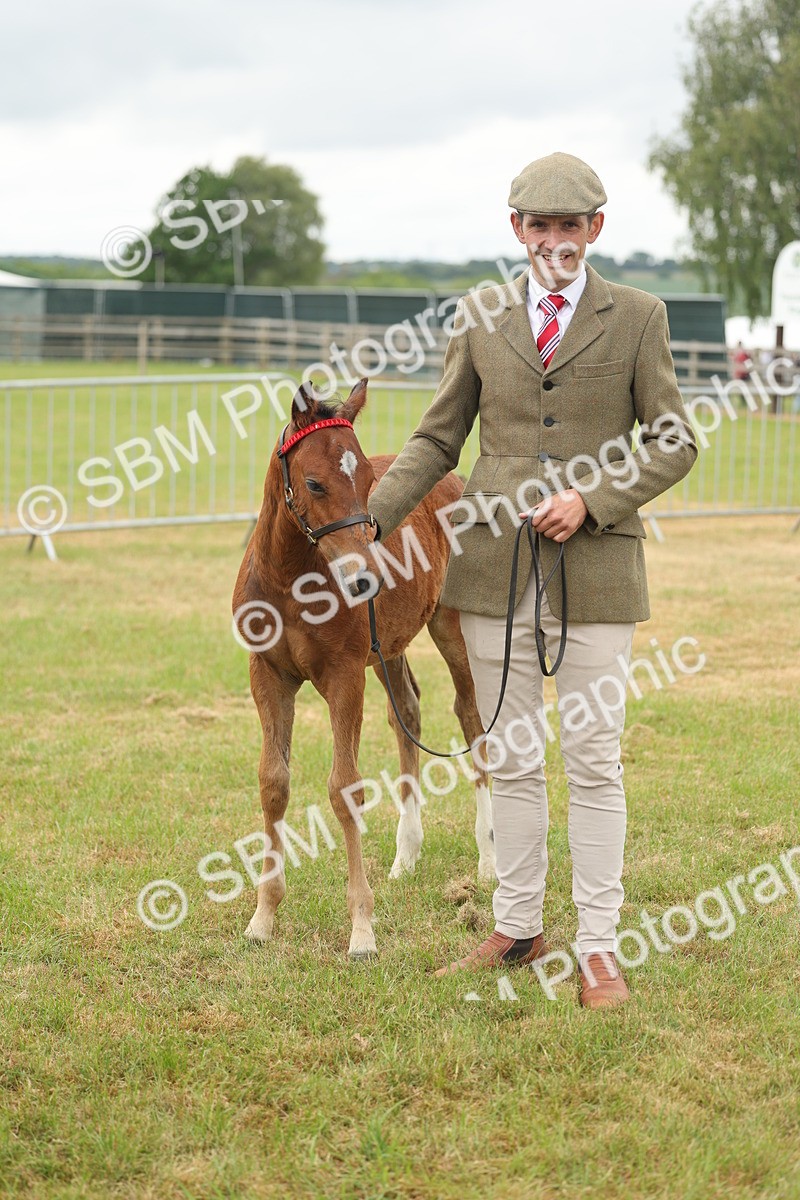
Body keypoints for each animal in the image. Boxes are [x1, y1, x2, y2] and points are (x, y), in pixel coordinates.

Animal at [231, 378, 495, 958]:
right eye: (313, 482)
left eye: (370, 481)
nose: (364, 580)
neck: (290, 581)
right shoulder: (267, 675)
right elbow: (273, 782)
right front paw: (262, 918)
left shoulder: (344, 675)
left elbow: (344, 788)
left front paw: (362, 929)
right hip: (388, 646)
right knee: (408, 714)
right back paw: (406, 856)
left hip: (452, 630)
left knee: (472, 720)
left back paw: (490, 859)